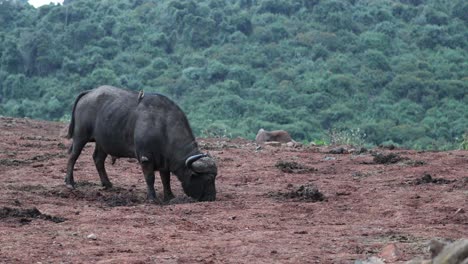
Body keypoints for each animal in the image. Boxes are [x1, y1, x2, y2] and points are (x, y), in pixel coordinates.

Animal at [65, 85, 217, 201]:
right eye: (208, 179)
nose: (212, 197)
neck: (163, 126)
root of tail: (90, 92)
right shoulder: (146, 158)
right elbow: (150, 178)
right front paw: (152, 198)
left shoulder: (164, 161)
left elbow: (165, 179)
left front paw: (169, 196)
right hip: (80, 136)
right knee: (73, 156)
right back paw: (69, 183)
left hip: (102, 142)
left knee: (98, 159)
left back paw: (107, 184)